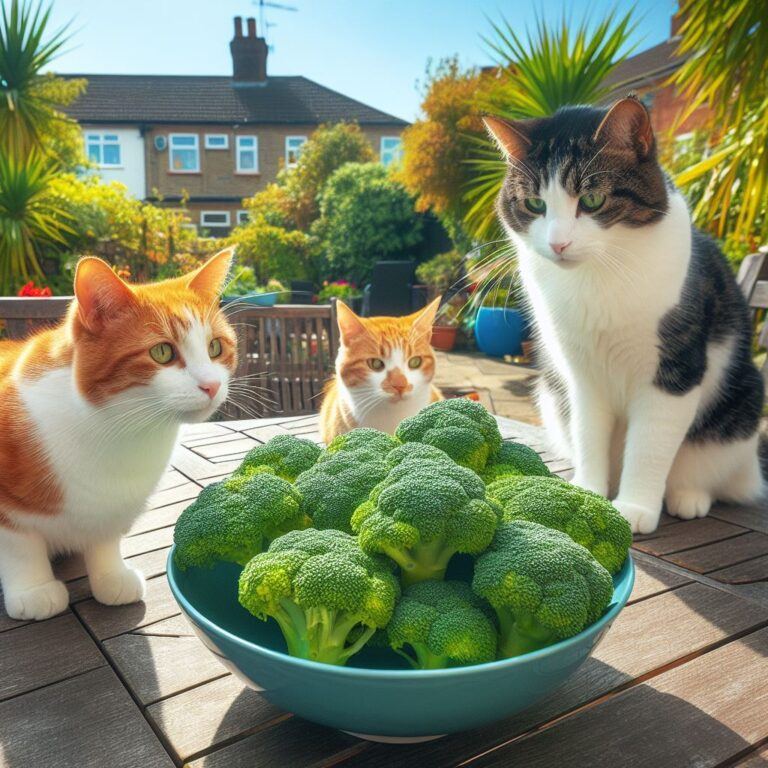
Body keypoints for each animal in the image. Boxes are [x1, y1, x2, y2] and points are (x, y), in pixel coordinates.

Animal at [0, 249, 237, 620]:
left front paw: (110, 575)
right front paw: (33, 589)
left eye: (215, 347)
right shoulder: (7, 510)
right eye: (162, 352)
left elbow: (105, 536)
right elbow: (19, 545)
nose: (212, 386)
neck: (122, 430)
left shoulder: (114, 506)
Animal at [484, 97, 764, 536]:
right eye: (535, 204)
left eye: (592, 200)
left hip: (743, 403)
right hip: (550, 392)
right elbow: (588, 432)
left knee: (707, 470)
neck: (597, 275)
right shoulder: (580, 372)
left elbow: (650, 446)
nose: (558, 244)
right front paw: (590, 492)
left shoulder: (674, 371)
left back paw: (688, 497)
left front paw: (635, 508)